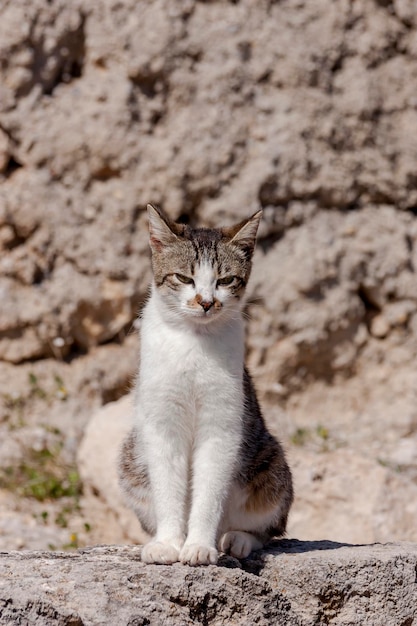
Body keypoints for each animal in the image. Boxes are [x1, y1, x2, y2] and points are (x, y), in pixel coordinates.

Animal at [117, 205, 292, 564]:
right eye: (184, 278)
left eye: (225, 280)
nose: (206, 302)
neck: (194, 343)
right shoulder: (162, 423)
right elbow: (168, 489)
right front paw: (168, 544)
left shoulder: (222, 425)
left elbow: (209, 493)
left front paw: (198, 546)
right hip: (129, 458)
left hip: (272, 464)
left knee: (267, 528)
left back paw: (236, 540)